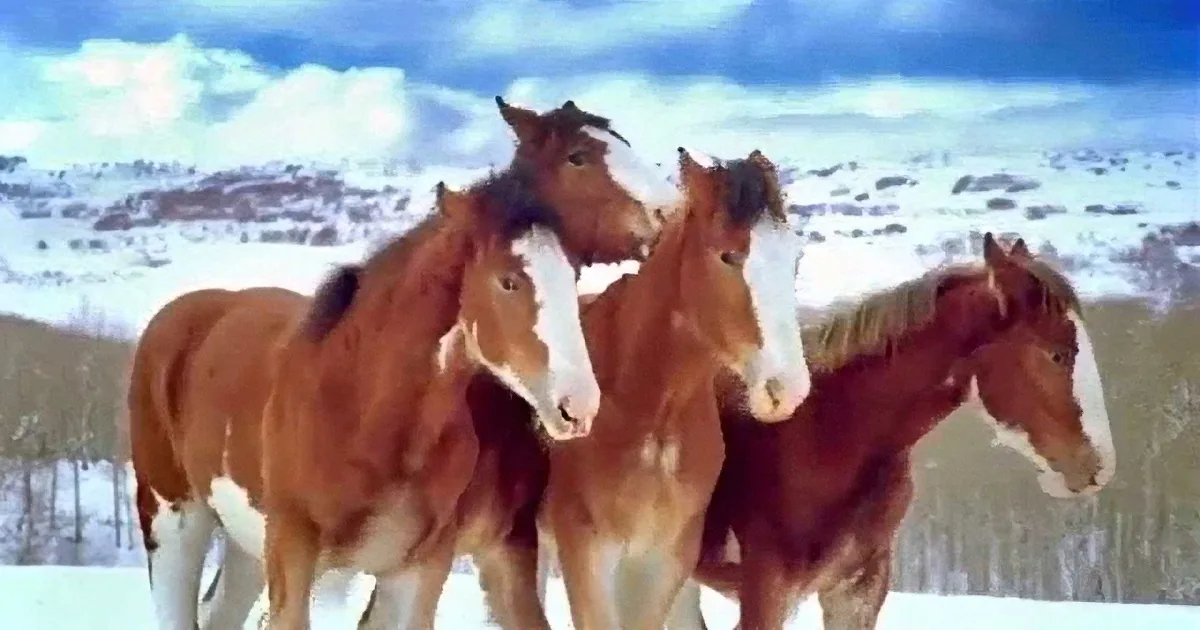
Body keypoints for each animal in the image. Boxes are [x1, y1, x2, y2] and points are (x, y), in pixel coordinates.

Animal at [128, 96, 681, 630]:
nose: (577, 404)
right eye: (580, 156)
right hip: (175, 523)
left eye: (571, 278)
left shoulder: (435, 564)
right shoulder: (294, 551)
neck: (366, 405)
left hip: (245, 545)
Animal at [532, 147, 811, 630]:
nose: (787, 388)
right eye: (728, 256)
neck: (649, 409)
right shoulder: (585, 553)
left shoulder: (664, 561)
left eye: (794, 259)